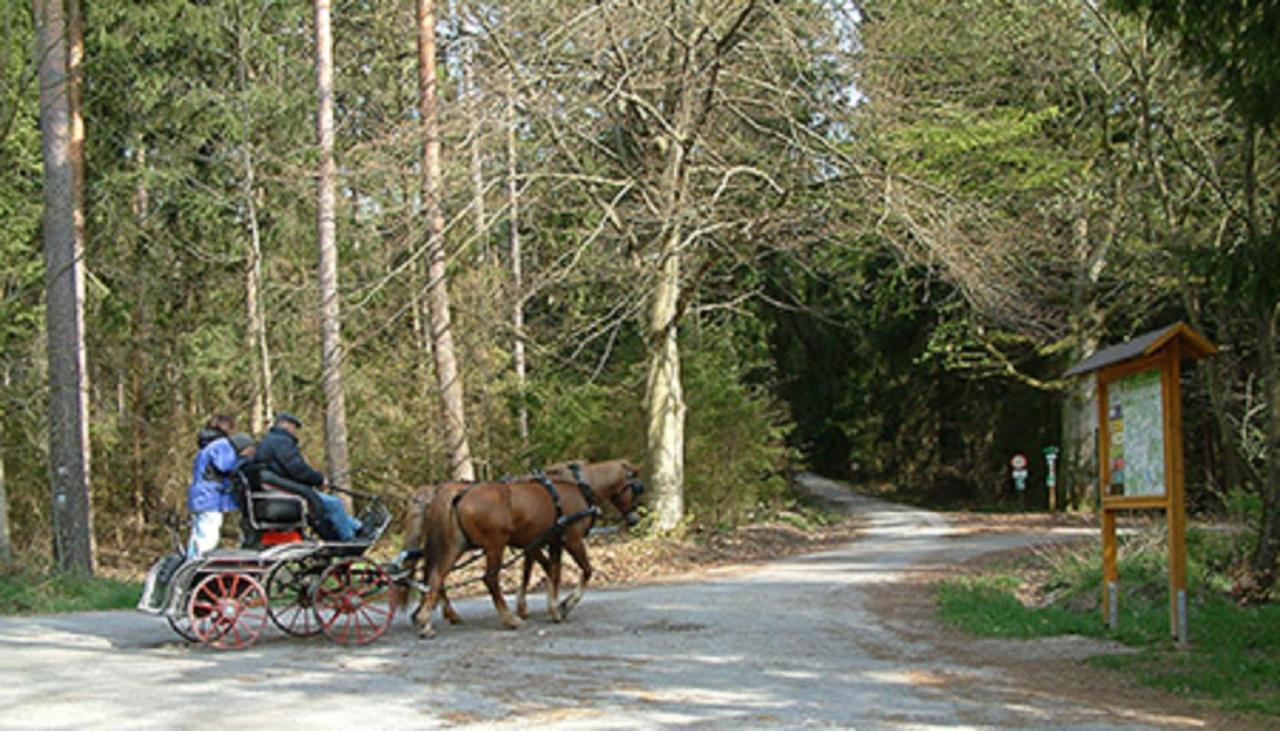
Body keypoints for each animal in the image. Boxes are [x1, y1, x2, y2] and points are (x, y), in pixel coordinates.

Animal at [409, 463, 645, 640]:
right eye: (636, 488)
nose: (635, 519)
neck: (579, 488)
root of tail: (459, 493)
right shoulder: (572, 540)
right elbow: (585, 570)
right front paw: (565, 605)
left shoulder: (551, 542)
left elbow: (551, 573)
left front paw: (554, 608)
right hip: (495, 546)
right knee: (489, 579)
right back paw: (509, 619)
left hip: (455, 546)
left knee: (436, 577)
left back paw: (425, 621)